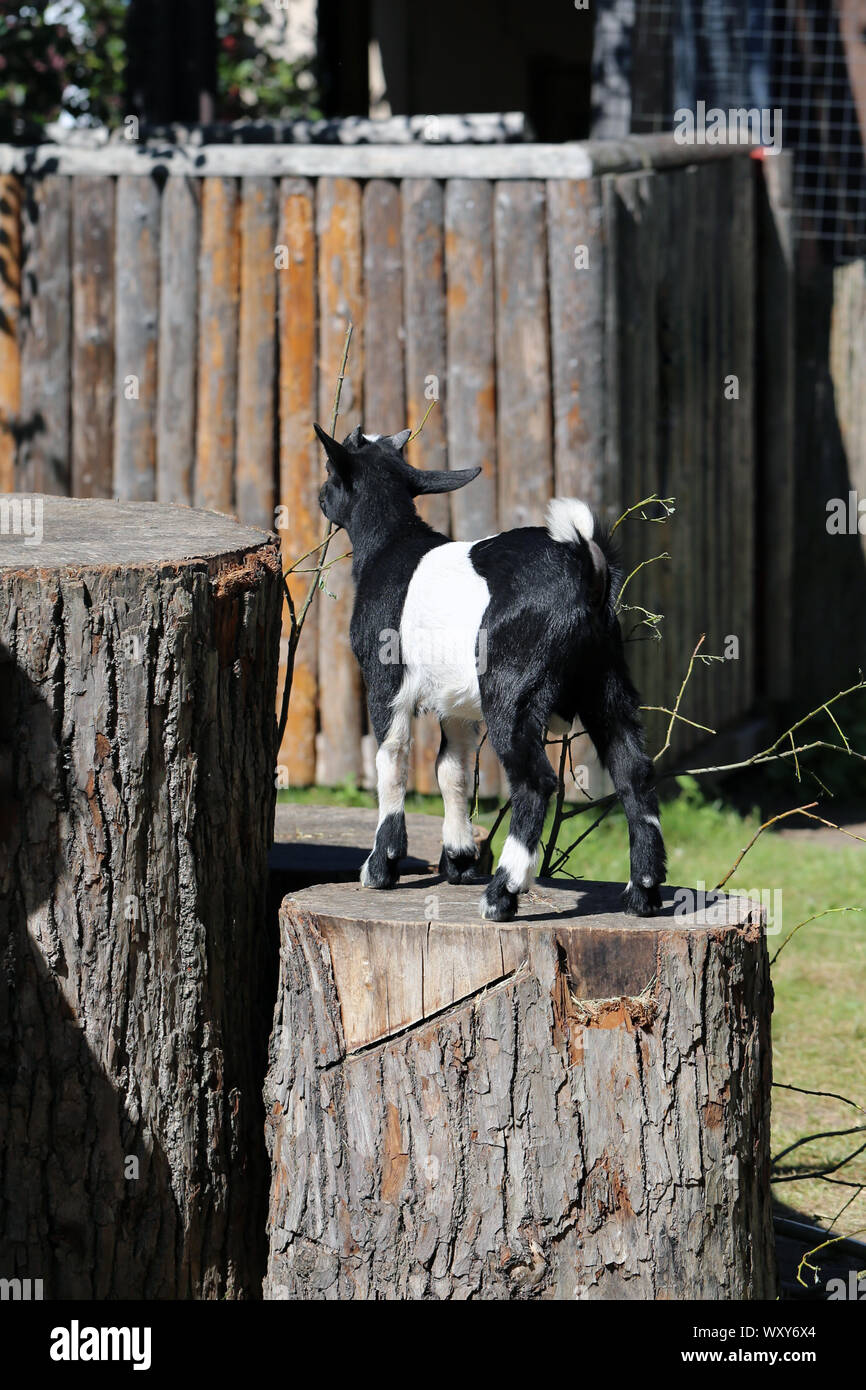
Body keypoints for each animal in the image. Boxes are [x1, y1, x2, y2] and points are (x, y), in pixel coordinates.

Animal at [315, 425, 667, 922]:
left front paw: (381, 867)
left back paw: (502, 895)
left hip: (511, 691)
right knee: (633, 772)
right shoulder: (456, 703)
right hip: (606, 682)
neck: (392, 544)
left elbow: (392, 759)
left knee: (536, 782)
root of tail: (585, 569)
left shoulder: (385, 681)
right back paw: (643, 894)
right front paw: (460, 859)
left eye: (332, 470)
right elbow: (453, 768)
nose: (319, 498)